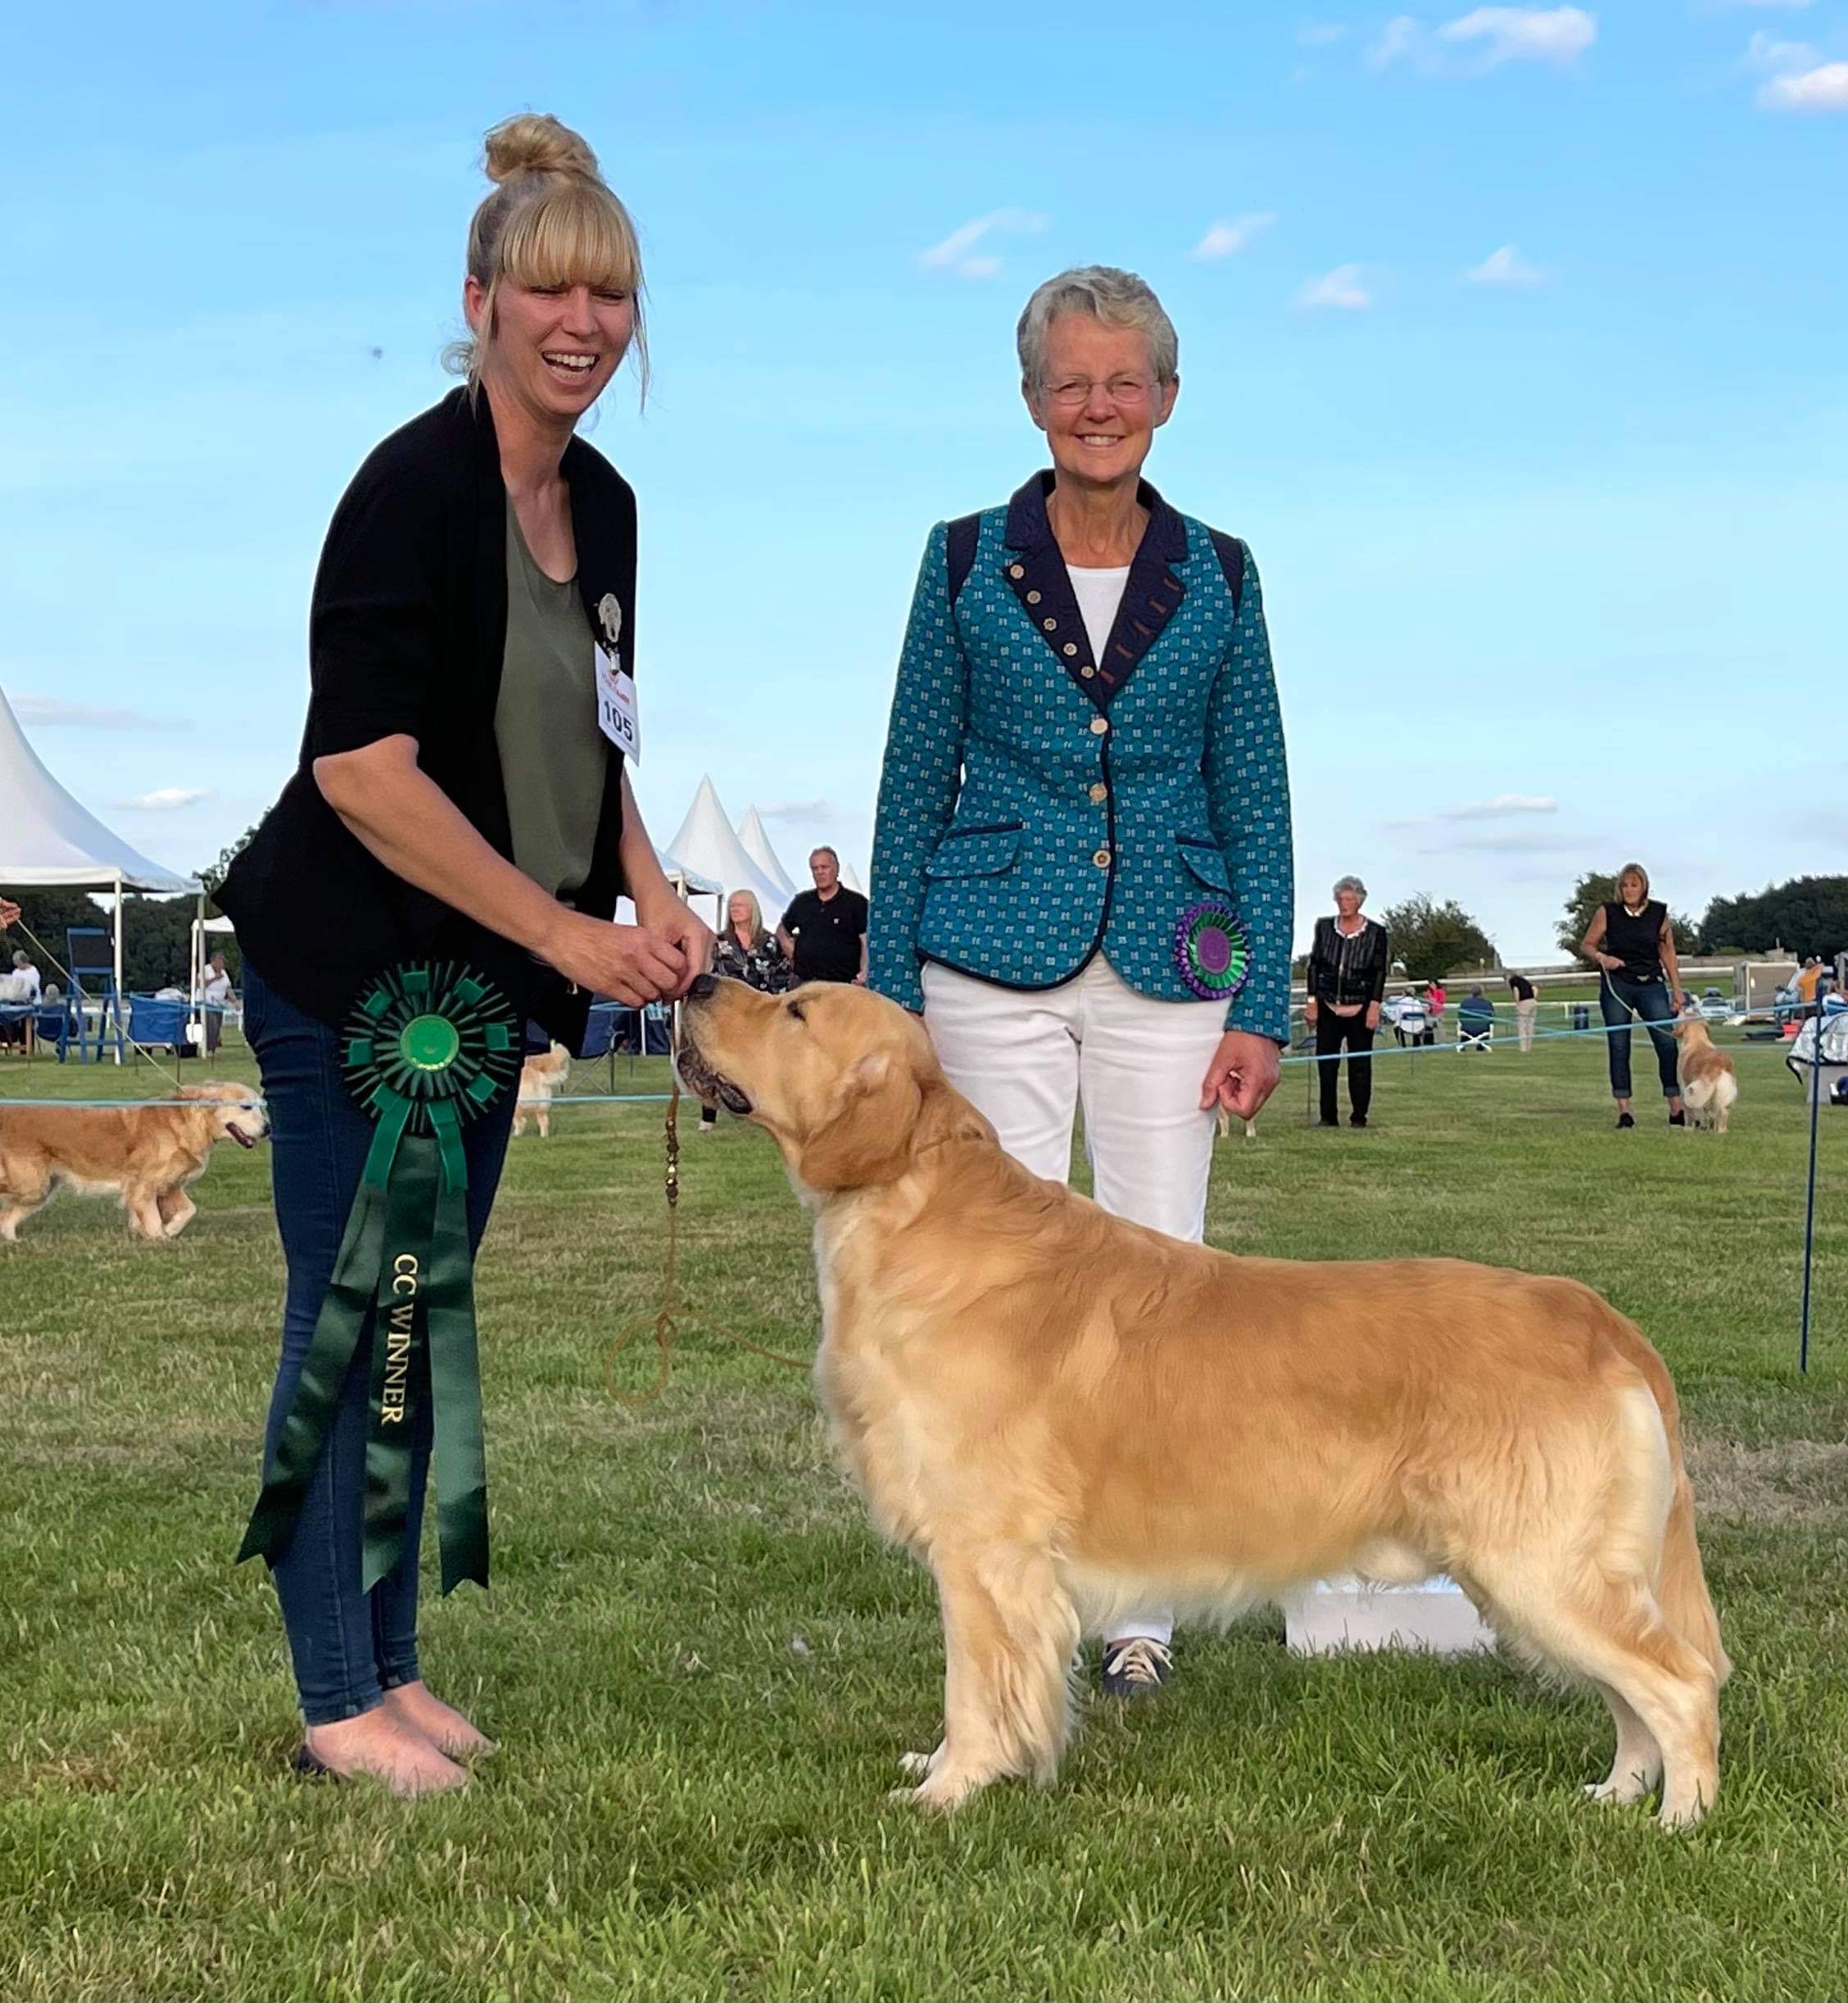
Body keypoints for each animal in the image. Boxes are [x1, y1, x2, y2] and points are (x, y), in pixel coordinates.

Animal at [0, 1081, 268, 1234]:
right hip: (32, 1184)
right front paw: (158, 1238)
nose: (268, 1128)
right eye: (246, 1107)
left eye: (260, 1105)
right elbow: (153, 1219)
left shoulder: (170, 1185)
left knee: (7, 1218)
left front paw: (169, 1230)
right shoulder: (144, 1185)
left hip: (39, 1189)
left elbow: (189, 1210)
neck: (190, 1121)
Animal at [1682, 1009, 1737, 1137]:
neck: (1698, 1040)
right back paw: (1720, 1131)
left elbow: (1689, 1110)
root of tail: (1722, 1063)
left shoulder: (1685, 1085)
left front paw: (1688, 1128)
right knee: (1721, 1112)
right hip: (1723, 1090)